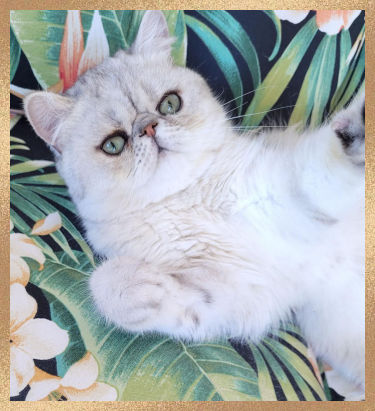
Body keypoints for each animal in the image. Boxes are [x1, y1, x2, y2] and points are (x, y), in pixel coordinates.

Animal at [23, 9, 364, 400]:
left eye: (169, 104)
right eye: (114, 144)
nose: (149, 127)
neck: (188, 198)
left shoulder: (298, 189)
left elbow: (326, 164)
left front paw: (357, 127)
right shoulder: (237, 291)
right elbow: (114, 288)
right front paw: (136, 285)